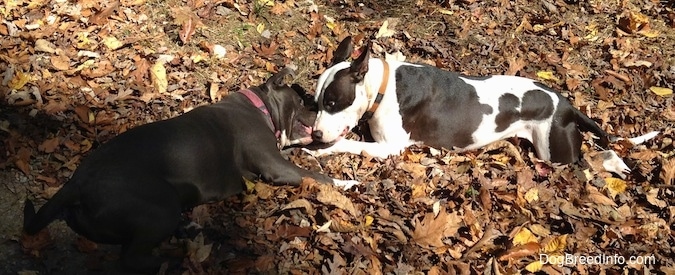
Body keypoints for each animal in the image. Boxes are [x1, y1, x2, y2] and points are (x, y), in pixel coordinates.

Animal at [22, 69, 360, 274]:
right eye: (303, 101)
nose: (319, 112)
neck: (261, 106)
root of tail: (77, 182)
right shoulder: (276, 166)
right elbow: (317, 177)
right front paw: (347, 183)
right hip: (160, 205)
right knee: (130, 259)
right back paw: (174, 259)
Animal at [312, 37, 660, 177]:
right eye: (317, 102)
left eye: (332, 102)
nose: (314, 133)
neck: (381, 88)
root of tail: (566, 105)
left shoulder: (390, 148)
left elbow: (350, 144)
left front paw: (320, 150)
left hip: (556, 154)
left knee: (597, 158)